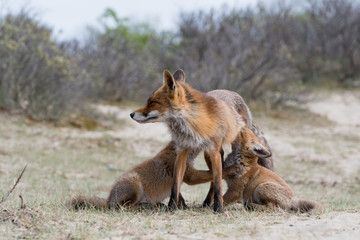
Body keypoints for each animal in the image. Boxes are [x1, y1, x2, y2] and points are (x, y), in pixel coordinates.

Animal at [66, 141, 238, 210]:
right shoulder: (189, 175)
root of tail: (109, 199)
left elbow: (177, 195)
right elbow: (213, 173)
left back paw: (154, 205)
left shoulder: (180, 180)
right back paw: (148, 207)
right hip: (135, 186)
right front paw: (232, 169)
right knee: (123, 207)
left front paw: (181, 207)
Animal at [129, 69, 248, 212]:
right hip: (207, 154)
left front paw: (219, 209)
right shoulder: (182, 151)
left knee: (217, 177)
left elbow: (218, 184)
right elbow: (175, 185)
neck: (191, 126)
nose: (131, 114)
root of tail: (229, 91)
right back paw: (206, 203)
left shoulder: (213, 152)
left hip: (223, 148)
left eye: (152, 102)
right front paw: (171, 208)